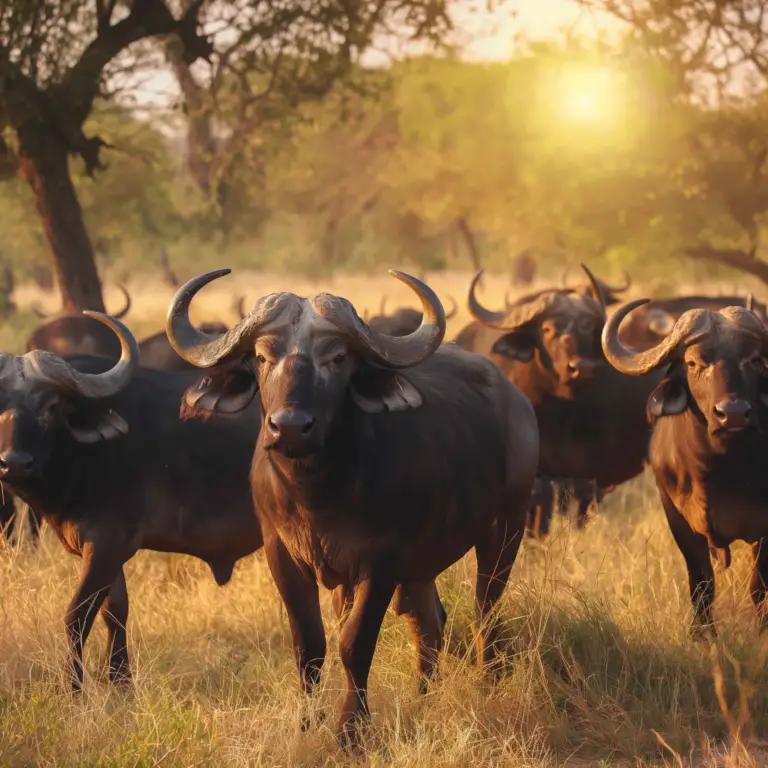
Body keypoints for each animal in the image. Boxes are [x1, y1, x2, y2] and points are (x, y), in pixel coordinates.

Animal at [168, 268, 540, 744]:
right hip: (422, 565)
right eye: (263, 357)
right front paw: (307, 725)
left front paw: (351, 731)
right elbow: (308, 645)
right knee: (430, 621)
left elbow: (354, 642)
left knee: (485, 614)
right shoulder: (281, 554)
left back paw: (487, 685)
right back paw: (424, 697)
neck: (317, 495)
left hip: (506, 528)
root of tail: (518, 404)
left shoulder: (381, 561)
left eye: (337, 358)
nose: (290, 427)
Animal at [604, 296, 768, 632]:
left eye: (755, 360)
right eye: (694, 364)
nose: (733, 414)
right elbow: (701, 582)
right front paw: (702, 634)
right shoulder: (678, 519)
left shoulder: (764, 528)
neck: (718, 470)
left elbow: (758, 586)